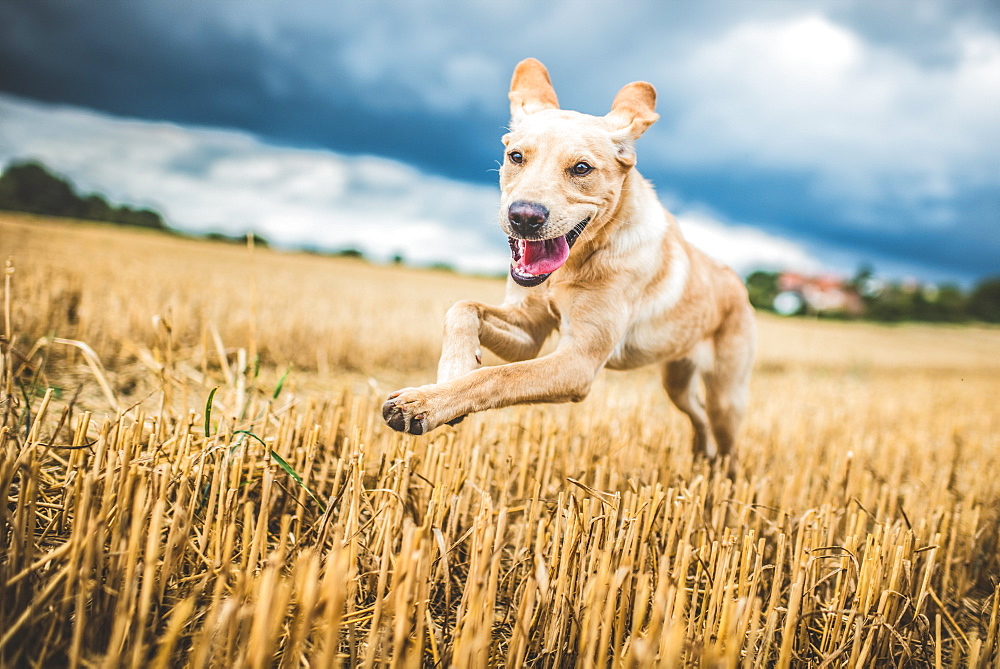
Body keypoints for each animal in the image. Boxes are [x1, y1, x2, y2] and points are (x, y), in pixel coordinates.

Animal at [378, 58, 752, 464]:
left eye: (582, 168)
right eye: (516, 156)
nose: (524, 217)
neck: (573, 265)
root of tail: (738, 285)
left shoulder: (579, 361)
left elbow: (497, 376)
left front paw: (424, 403)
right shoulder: (529, 332)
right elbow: (462, 308)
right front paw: (450, 373)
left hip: (726, 397)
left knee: (729, 445)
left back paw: (721, 474)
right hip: (677, 380)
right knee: (697, 414)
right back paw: (701, 456)